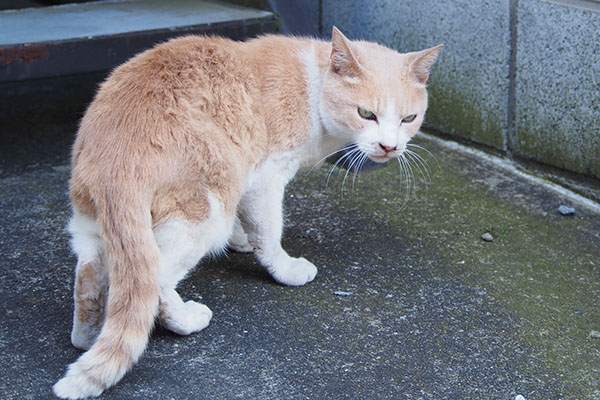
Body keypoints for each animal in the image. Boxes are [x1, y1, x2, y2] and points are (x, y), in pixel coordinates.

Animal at [52, 26, 440, 398]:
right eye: (366, 114)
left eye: (408, 118)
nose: (389, 147)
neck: (312, 87)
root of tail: (115, 159)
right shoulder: (266, 178)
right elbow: (268, 234)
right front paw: (283, 267)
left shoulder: (248, 173)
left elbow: (249, 225)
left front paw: (242, 241)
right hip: (207, 213)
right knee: (156, 284)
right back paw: (188, 320)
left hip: (94, 227)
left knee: (91, 277)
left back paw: (88, 335)